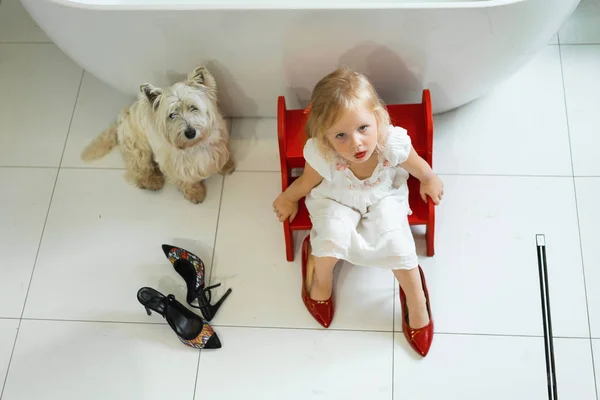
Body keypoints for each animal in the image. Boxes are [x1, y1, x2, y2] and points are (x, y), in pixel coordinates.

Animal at [81, 67, 234, 203]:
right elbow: (184, 180)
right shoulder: (172, 165)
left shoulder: (219, 141)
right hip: (139, 147)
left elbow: (223, 155)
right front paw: (195, 193)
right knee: (139, 168)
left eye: (193, 107)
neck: (194, 146)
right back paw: (152, 181)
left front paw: (226, 166)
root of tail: (121, 119)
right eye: (172, 115)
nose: (190, 132)